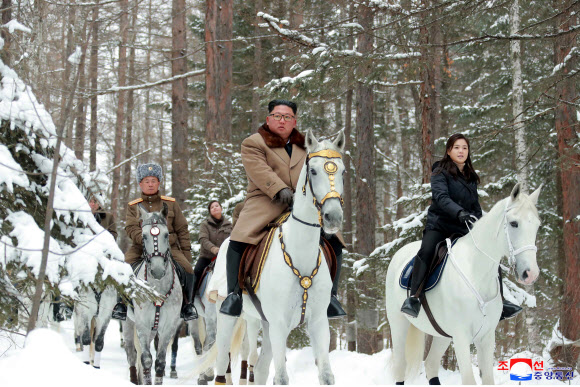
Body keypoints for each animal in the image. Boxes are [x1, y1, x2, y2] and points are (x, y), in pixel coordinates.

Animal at [120, 205, 179, 386]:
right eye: (144, 236)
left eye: (166, 234)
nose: (157, 270)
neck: (157, 289)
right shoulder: (142, 324)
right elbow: (146, 359)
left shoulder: (169, 326)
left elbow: (159, 361)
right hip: (128, 324)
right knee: (131, 353)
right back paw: (133, 379)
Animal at [388, 184, 540, 384]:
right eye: (514, 223)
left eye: (537, 225)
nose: (531, 274)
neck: (476, 272)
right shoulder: (461, 337)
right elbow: (469, 380)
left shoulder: (486, 337)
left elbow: (488, 379)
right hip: (398, 324)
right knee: (400, 366)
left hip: (442, 335)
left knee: (431, 364)